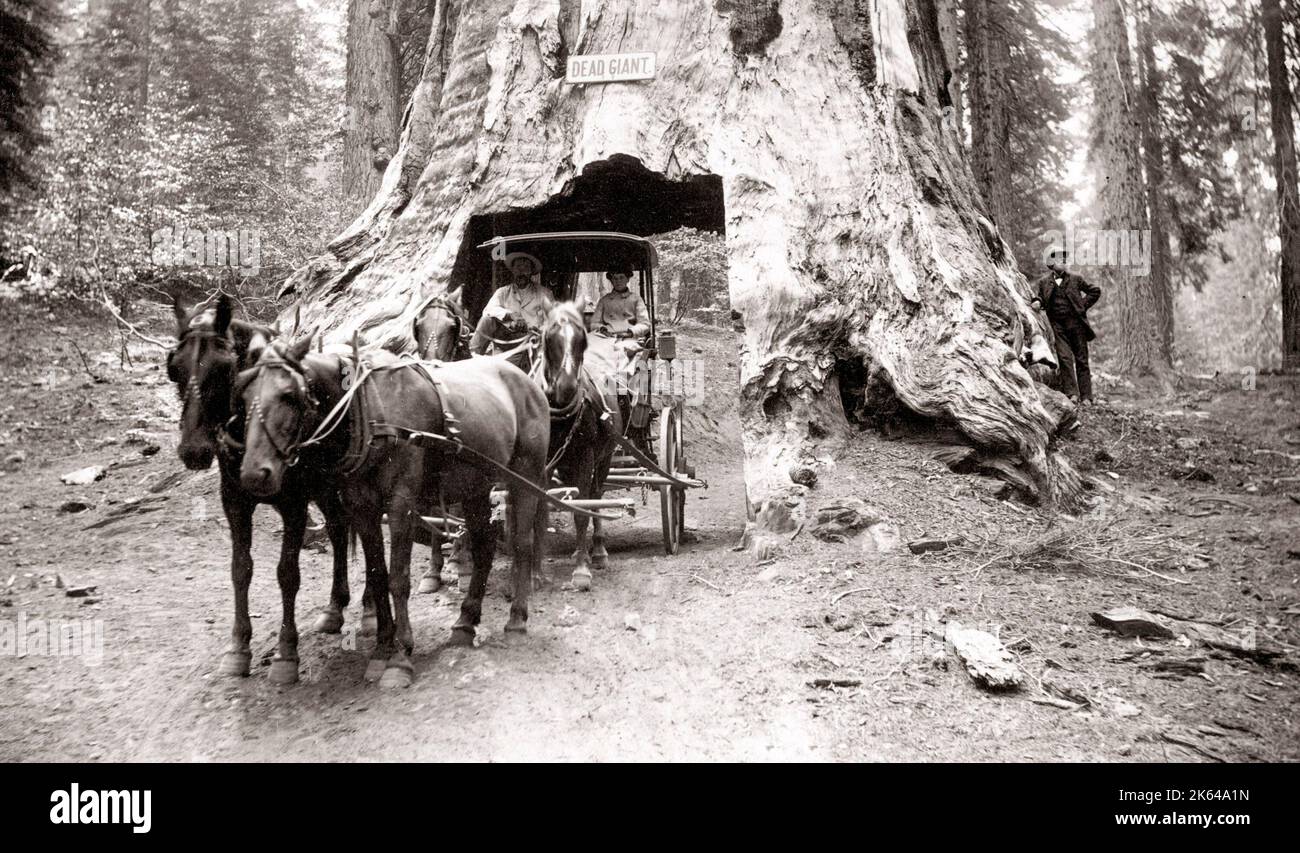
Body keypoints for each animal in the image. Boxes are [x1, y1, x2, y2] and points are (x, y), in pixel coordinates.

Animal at [165, 293, 374, 686]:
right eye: (174, 369)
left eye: (223, 368)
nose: (193, 449)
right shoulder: (234, 501)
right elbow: (240, 569)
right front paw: (238, 649)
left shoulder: (294, 505)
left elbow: (287, 574)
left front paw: (286, 653)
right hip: (324, 489)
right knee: (339, 530)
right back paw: (335, 607)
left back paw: (370, 608)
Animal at [239, 335, 548, 691]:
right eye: (244, 394)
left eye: (288, 395)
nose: (253, 474)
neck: (367, 409)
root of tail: (529, 382)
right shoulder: (362, 509)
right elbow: (377, 575)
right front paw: (382, 648)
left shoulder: (402, 506)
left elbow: (399, 578)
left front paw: (400, 656)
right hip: (476, 487)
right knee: (484, 546)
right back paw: (465, 622)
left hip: (526, 477)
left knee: (522, 545)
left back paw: (516, 620)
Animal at [535, 302, 621, 590]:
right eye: (548, 337)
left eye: (582, 339)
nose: (567, 386)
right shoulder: (543, 462)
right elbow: (541, 510)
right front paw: (535, 571)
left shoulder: (586, 456)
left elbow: (582, 512)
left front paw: (582, 571)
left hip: (603, 459)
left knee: (596, 496)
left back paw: (598, 551)